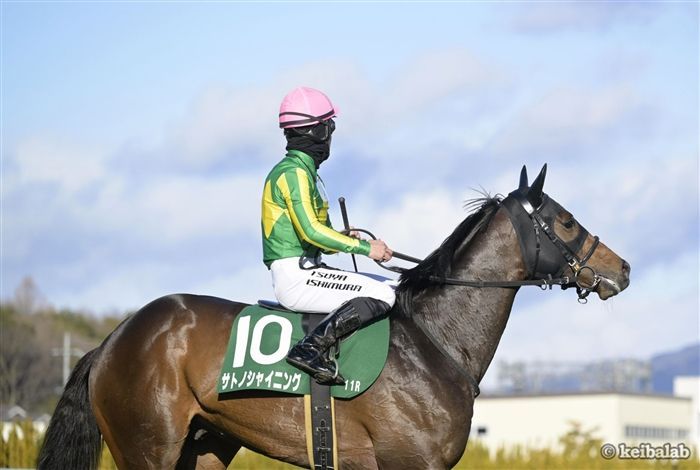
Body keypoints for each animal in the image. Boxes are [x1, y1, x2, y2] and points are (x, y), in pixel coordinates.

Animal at [37, 165, 630, 469]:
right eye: (567, 222)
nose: (621, 268)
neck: (434, 343)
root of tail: (113, 340)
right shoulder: (409, 464)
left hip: (205, 446)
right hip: (148, 449)